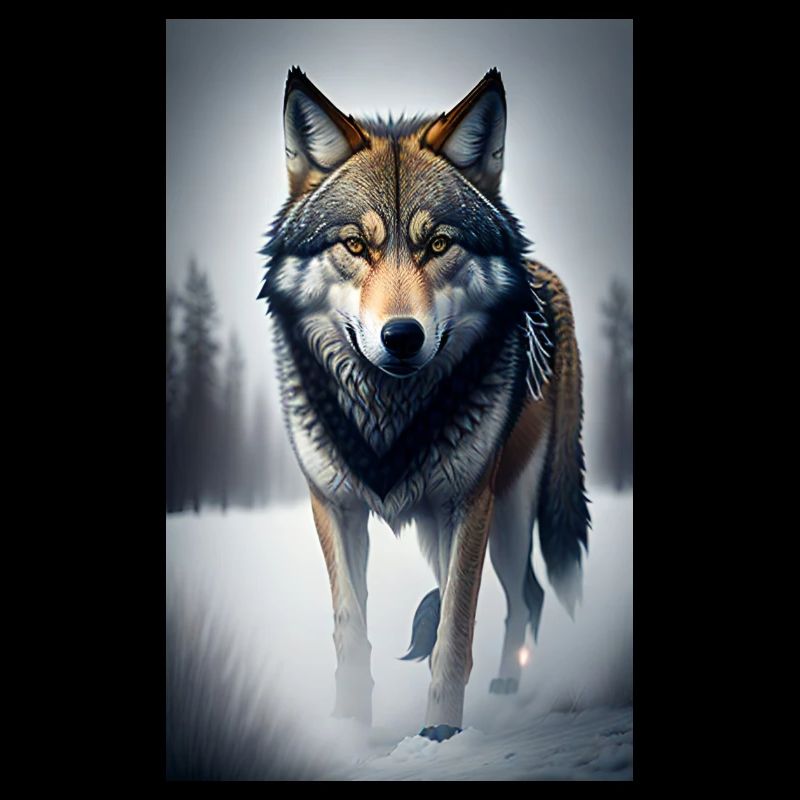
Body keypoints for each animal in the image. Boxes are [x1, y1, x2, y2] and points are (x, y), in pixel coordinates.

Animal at [259, 67, 590, 741]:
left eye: (437, 243)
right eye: (355, 245)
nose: (402, 336)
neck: (390, 414)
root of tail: (547, 276)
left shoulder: (469, 503)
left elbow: (455, 634)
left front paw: (440, 735)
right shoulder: (334, 505)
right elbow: (351, 629)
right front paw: (350, 730)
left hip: (505, 512)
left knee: (527, 594)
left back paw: (508, 687)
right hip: (448, 527)